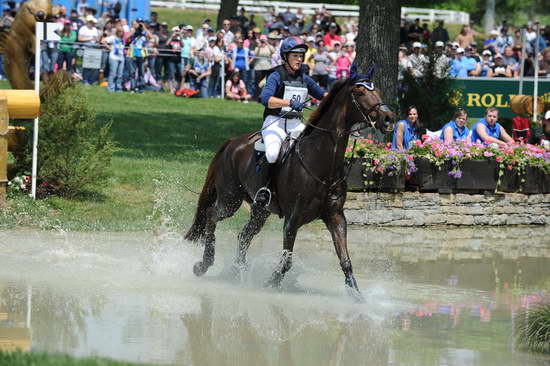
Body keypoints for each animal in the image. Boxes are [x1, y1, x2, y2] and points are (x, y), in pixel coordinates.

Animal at [188, 76, 394, 298]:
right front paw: (270, 284)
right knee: (211, 216)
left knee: (243, 235)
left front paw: (357, 296)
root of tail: (233, 142)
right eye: (360, 93)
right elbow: (287, 260)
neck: (322, 162)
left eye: (377, 91)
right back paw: (204, 264)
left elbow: (345, 260)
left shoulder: (336, 216)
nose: (388, 118)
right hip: (230, 199)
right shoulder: (292, 219)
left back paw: (238, 271)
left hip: (260, 211)